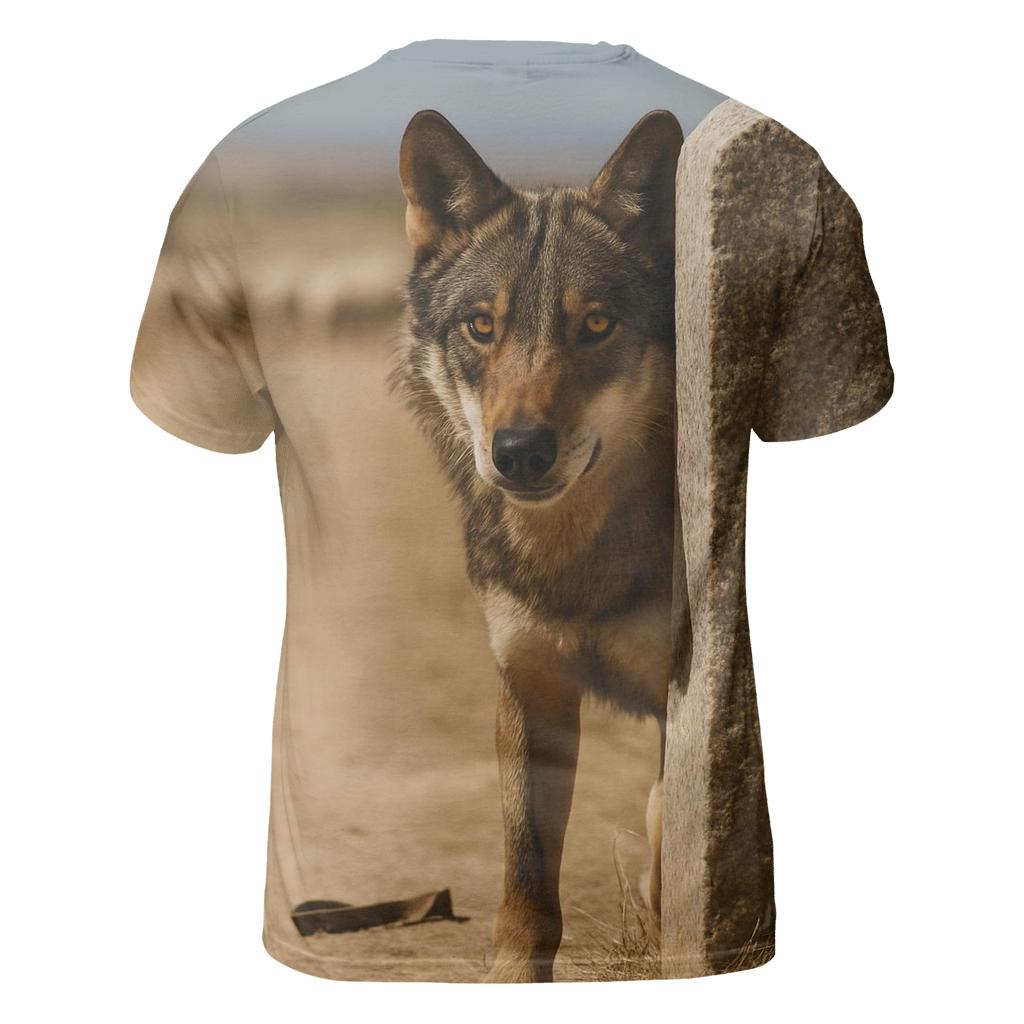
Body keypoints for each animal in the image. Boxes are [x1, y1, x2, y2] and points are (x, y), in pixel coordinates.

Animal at [392, 108, 683, 982]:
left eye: (596, 324)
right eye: (481, 326)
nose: (519, 450)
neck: (574, 564)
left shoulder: (688, 698)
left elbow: (672, 836)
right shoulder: (529, 684)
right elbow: (525, 876)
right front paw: (512, 976)